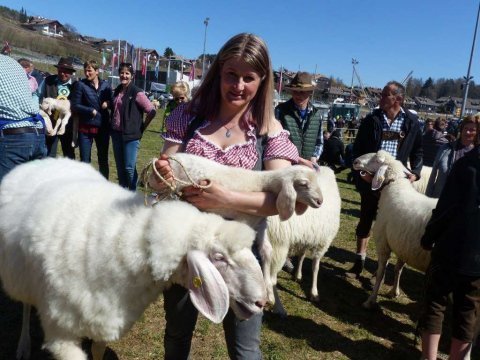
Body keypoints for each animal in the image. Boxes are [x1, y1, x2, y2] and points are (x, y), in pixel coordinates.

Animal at [0, 158, 266, 360]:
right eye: (219, 257)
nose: (262, 302)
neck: (129, 243)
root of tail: (43, 160)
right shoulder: (61, 335)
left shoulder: (105, 318)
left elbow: (98, 351)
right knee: (26, 306)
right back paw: (23, 345)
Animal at [144, 152, 324, 304]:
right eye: (303, 184)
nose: (320, 201)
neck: (262, 183)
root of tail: (168, 157)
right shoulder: (246, 220)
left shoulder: (260, 222)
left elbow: (267, 251)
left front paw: (269, 291)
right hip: (165, 185)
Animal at [266, 166, 342, 316]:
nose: (319, 202)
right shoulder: (323, 243)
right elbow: (315, 267)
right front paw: (314, 293)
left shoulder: (306, 238)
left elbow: (301, 256)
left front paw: (298, 275)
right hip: (278, 245)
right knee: (271, 278)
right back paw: (276, 305)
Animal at [352, 150, 438, 310]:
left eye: (377, 160)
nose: (355, 161)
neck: (394, 187)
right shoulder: (404, 245)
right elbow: (399, 268)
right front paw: (394, 291)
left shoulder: (383, 243)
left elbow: (381, 274)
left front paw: (370, 300)